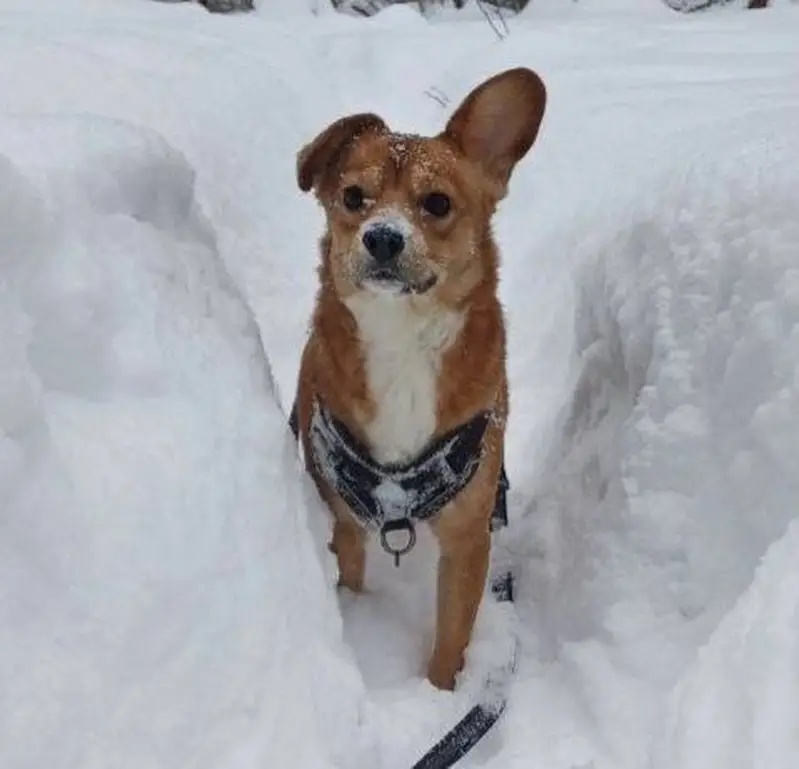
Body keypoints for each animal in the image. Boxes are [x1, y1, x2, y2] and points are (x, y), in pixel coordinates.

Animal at [292, 67, 547, 691]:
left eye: (437, 203)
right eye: (353, 198)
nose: (382, 236)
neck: (402, 340)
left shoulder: (469, 536)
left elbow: (452, 638)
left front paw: (439, 696)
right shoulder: (343, 515)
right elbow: (349, 575)